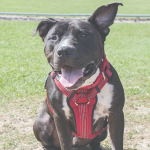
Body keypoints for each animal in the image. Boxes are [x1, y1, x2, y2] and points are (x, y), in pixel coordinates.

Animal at [32, 2, 124, 150]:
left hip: (102, 130)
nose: (64, 51)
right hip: (42, 123)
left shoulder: (116, 115)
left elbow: (117, 143)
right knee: (47, 142)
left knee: (95, 141)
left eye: (83, 34)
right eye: (54, 37)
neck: (83, 89)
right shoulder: (60, 118)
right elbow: (65, 143)